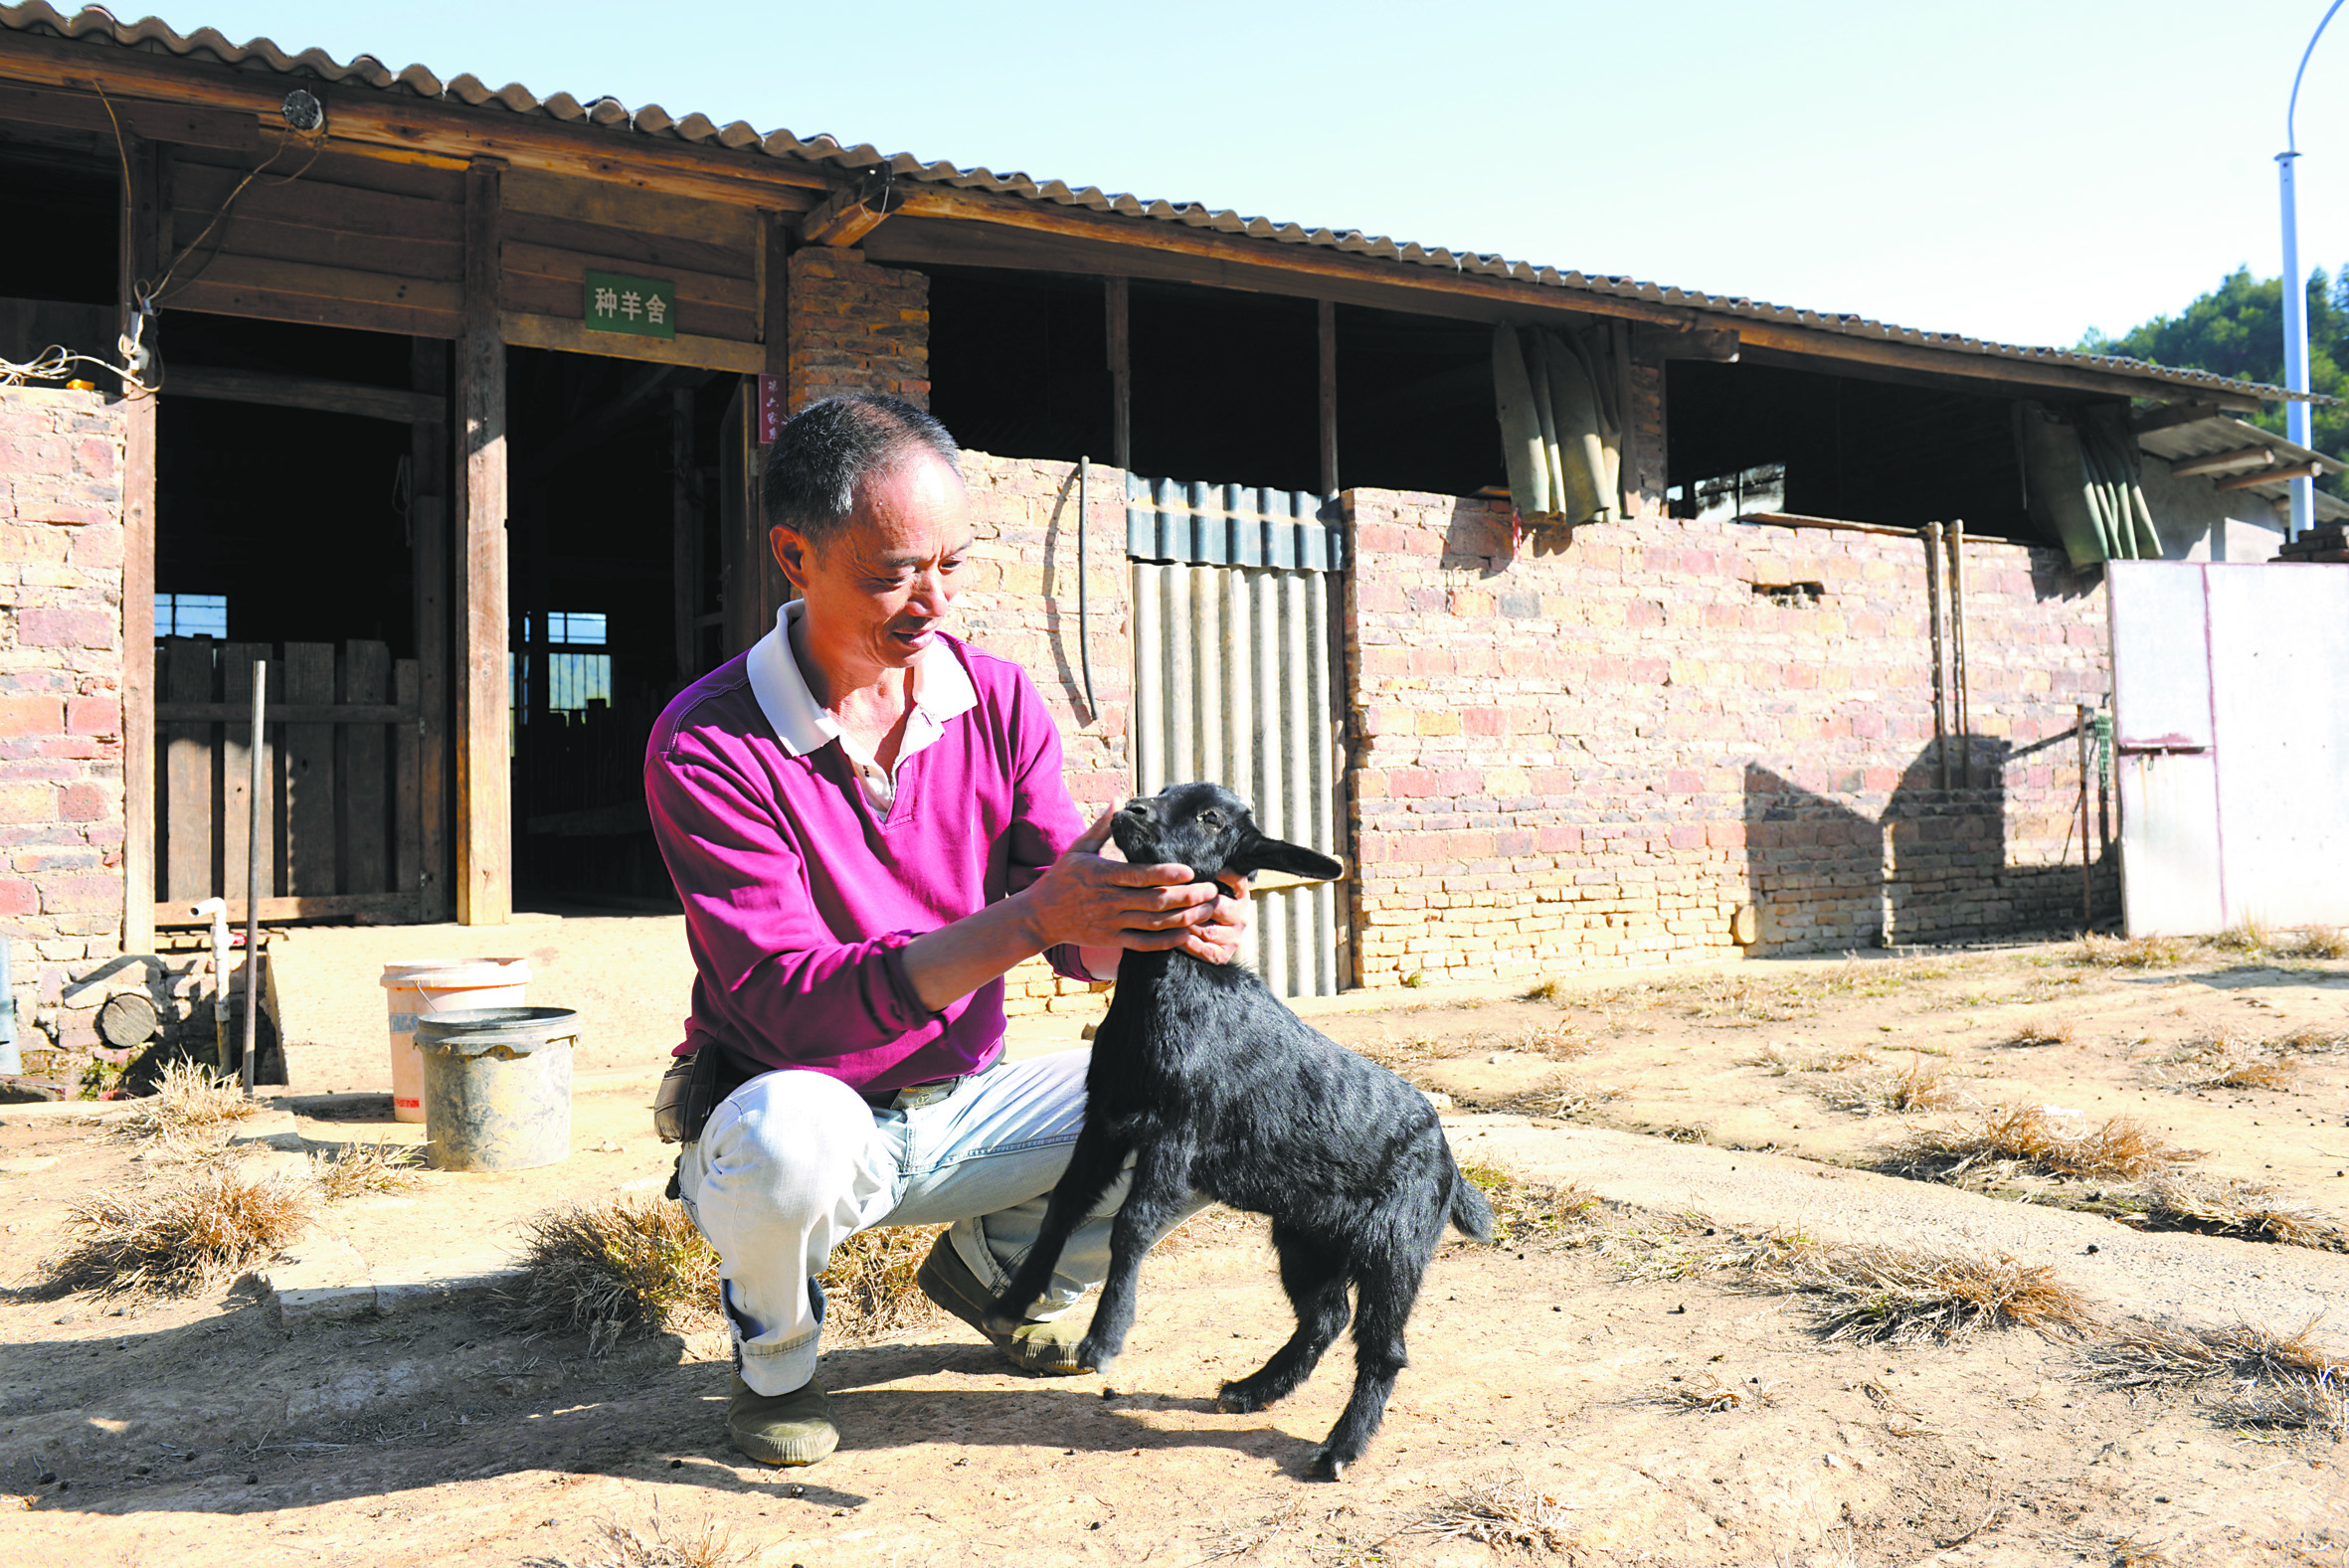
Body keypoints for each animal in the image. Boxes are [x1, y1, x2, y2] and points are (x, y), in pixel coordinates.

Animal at [987, 784, 1494, 1483]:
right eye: (1166, 793)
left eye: (1210, 818)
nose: (1133, 810)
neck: (1169, 995)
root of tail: (1448, 1163)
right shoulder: (1106, 1122)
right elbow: (1064, 1206)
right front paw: (1015, 1300)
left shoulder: (1178, 1128)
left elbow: (1132, 1224)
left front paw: (1104, 1339)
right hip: (1307, 1234)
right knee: (1324, 1316)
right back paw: (1254, 1390)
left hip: (1396, 1243)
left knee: (1382, 1346)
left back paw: (1340, 1449)